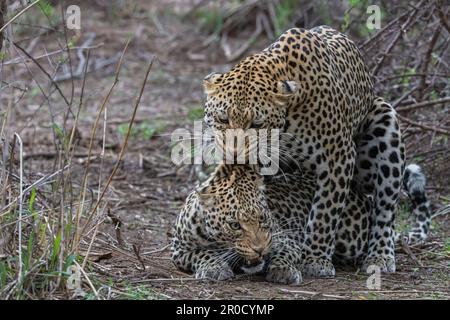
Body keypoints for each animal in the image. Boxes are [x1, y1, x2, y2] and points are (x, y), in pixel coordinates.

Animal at [171, 164, 430, 284]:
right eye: (235, 225)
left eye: (263, 219)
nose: (259, 250)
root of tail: (360, 197)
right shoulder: (179, 250)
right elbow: (202, 254)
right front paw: (214, 267)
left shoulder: (286, 238)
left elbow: (285, 253)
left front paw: (284, 270)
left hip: (350, 238)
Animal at [200, 25, 404, 276]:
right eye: (223, 119)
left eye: (256, 124)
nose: (234, 153)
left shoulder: (338, 156)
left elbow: (325, 212)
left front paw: (315, 260)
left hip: (384, 120)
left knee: (385, 209)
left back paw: (380, 255)